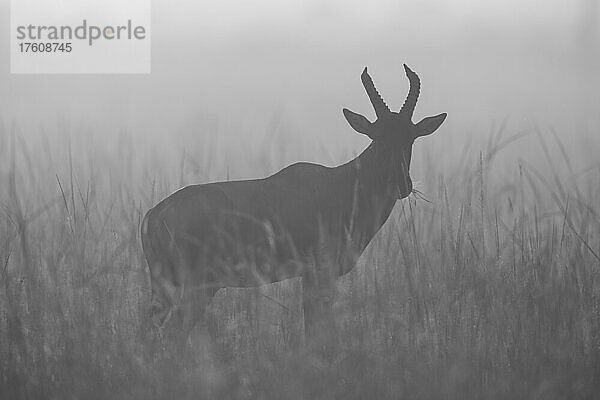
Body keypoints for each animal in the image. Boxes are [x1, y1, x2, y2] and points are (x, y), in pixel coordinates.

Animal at [142, 64, 446, 346]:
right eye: (377, 137)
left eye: (411, 137)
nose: (403, 185)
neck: (340, 183)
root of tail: (155, 214)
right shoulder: (317, 275)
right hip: (198, 284)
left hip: (166, 285)